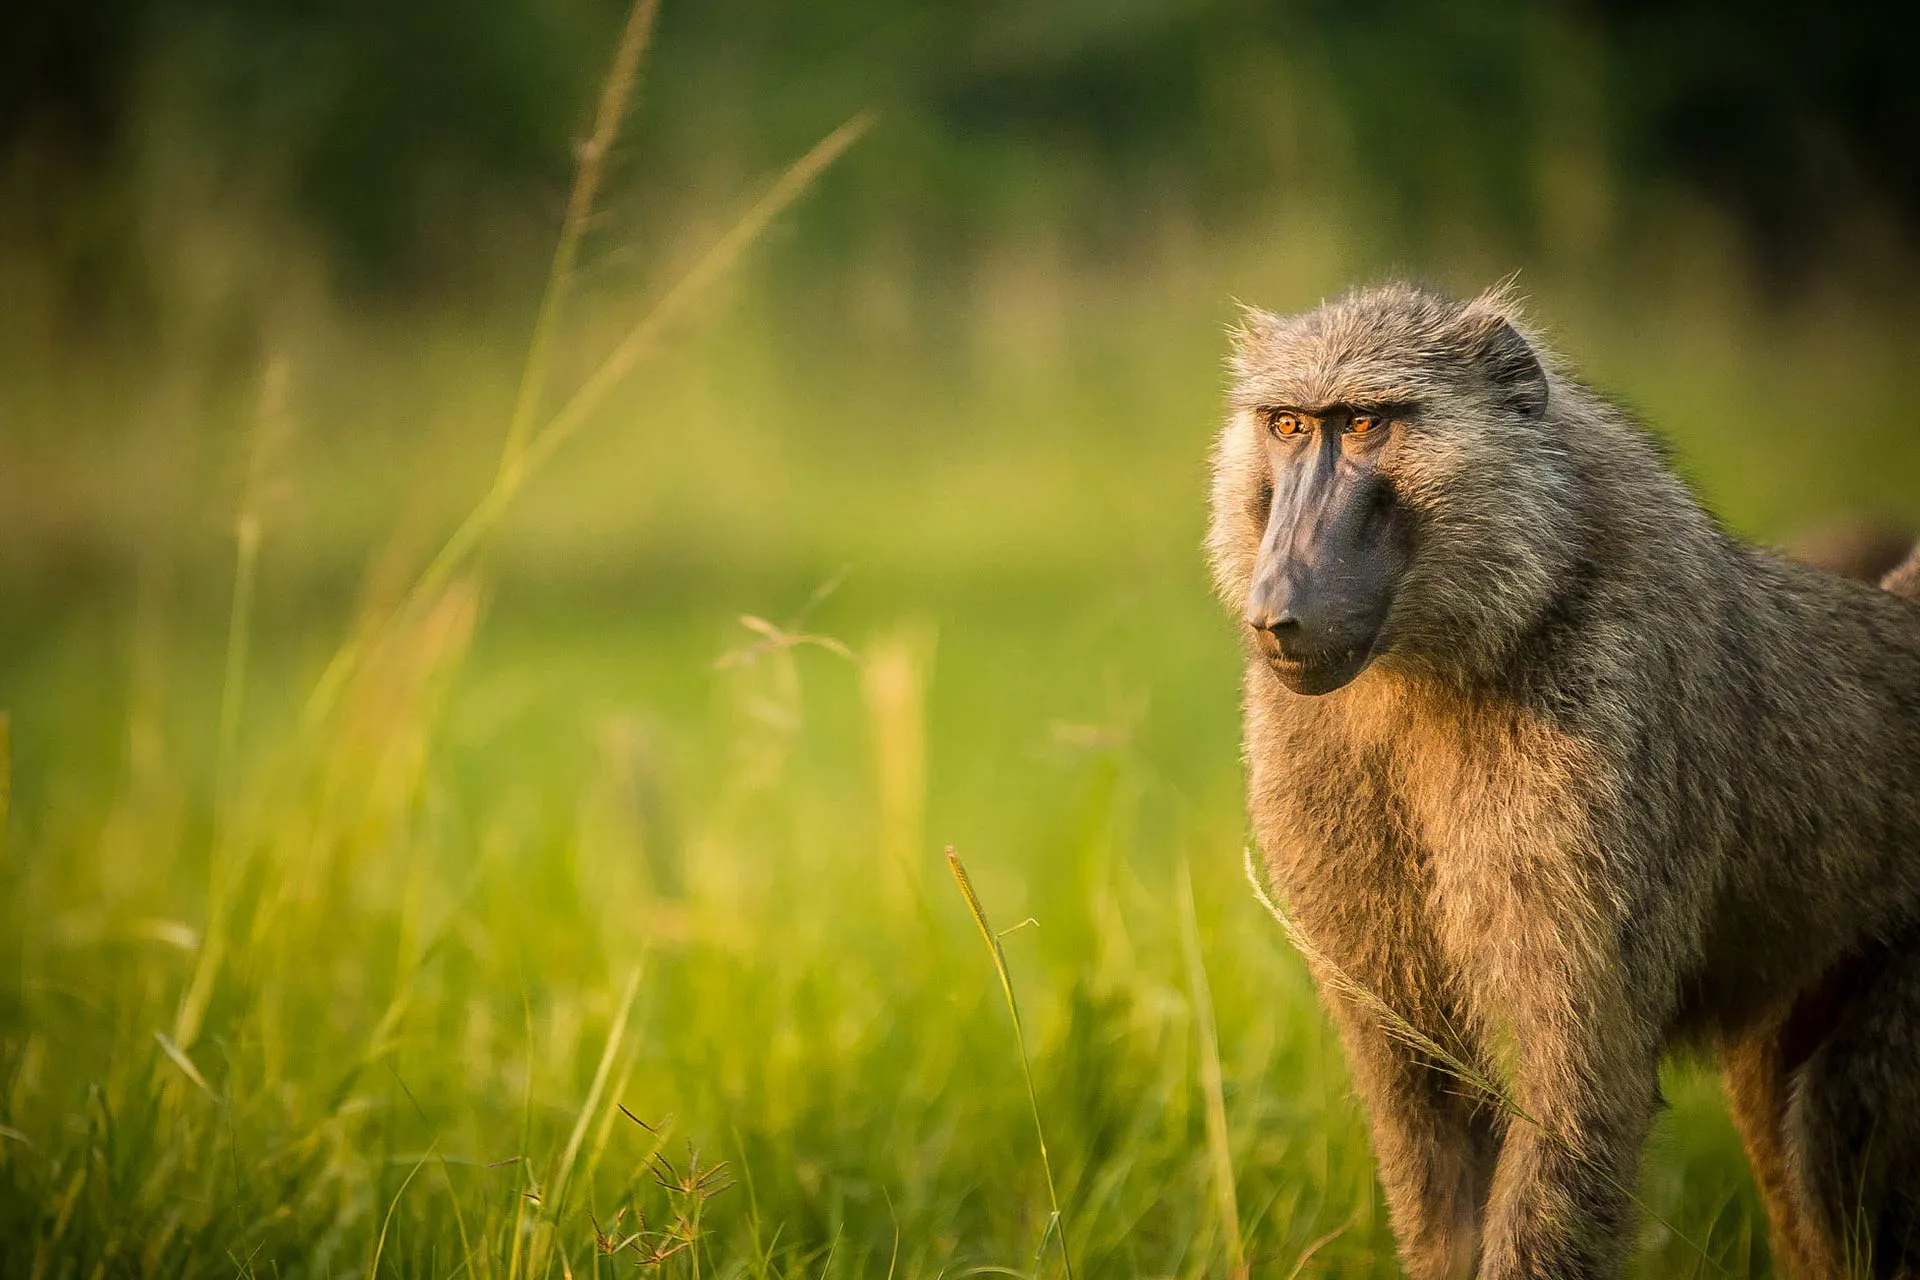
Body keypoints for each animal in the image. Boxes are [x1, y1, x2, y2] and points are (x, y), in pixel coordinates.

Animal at [1206, 282, 1920, 1279]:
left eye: (1366, 424)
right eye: (1288, 424)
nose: (1279, 609)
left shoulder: (1596, 714)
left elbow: (1576, 1092)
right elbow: (1424, 1096)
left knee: (1830, 1145)